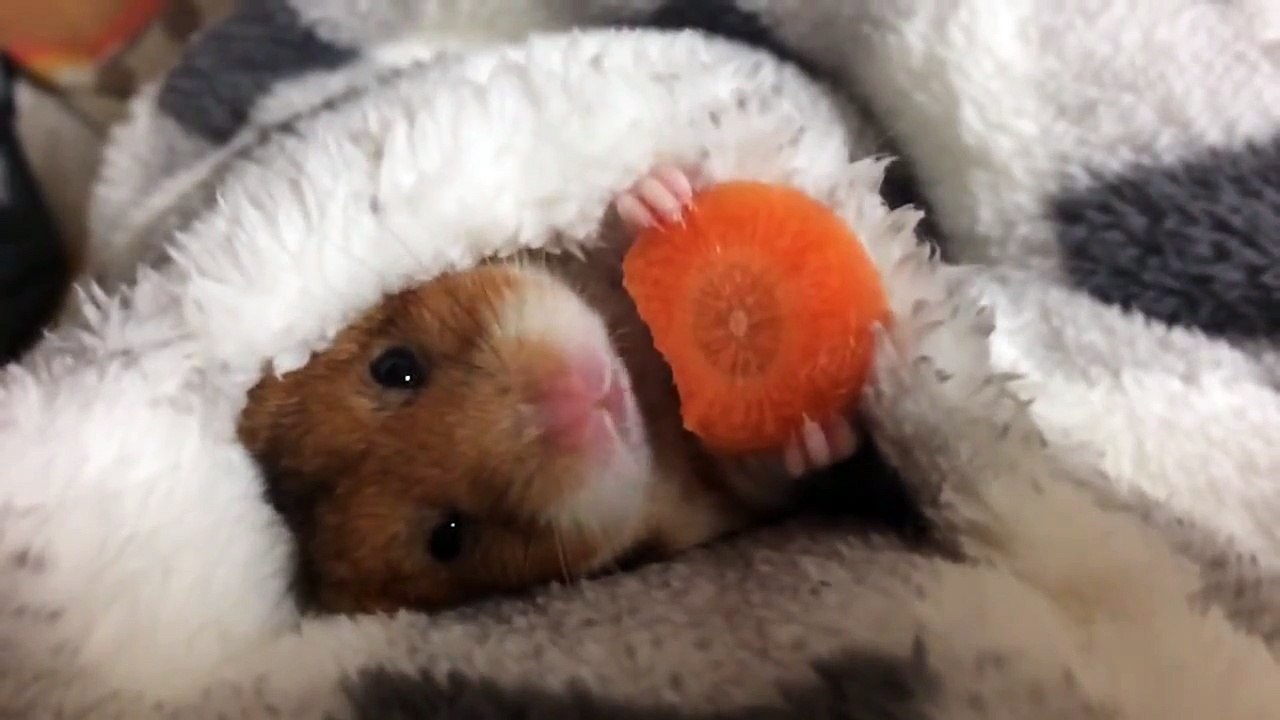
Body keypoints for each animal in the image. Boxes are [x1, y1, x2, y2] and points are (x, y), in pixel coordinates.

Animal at [237, 165, 860, 614]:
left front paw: (661, 199)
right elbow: (765, 474)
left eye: (394, 367)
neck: (650, 410)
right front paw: (814, 435)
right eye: (449, 538)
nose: (579, 400)